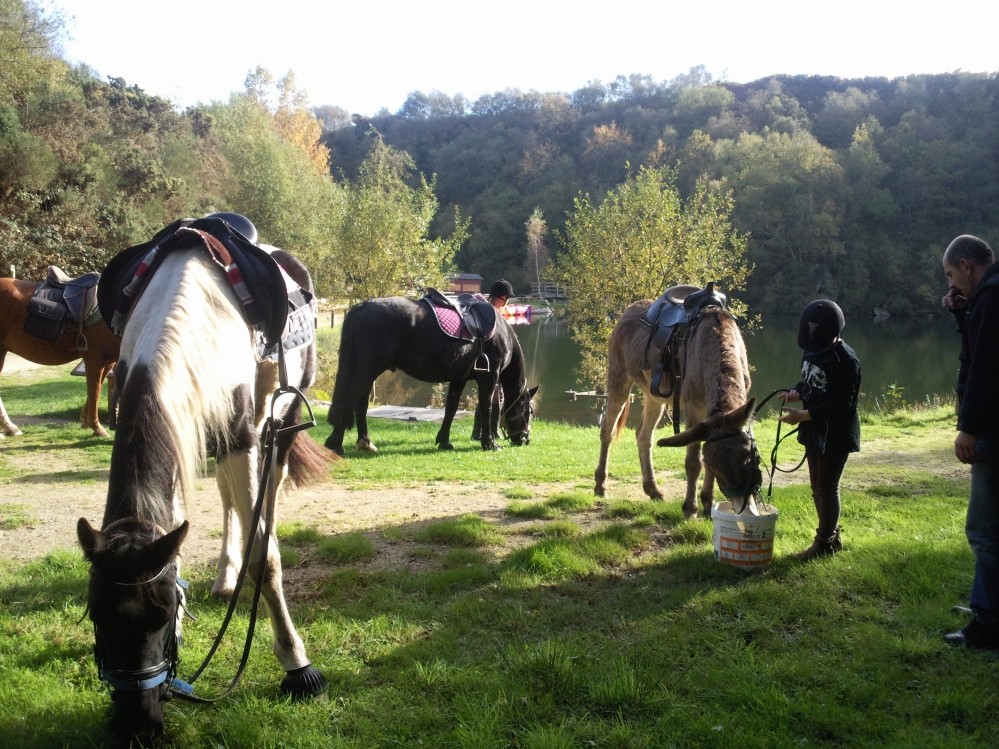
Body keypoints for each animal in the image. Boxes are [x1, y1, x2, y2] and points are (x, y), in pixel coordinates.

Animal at [0, 278, 119, 436]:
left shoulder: (108, 361)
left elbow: (95, 388)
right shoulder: (94, 358)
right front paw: (97, 428)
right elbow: (95, 392)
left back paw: (10, 428)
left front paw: (85, 421)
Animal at [77, 219, 336, 744]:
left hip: (278, 425)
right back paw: (224, 577)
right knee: (228, 502)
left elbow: (264, 556)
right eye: (96, 613)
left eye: (160, 615)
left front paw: (298, 667)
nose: (138, 726)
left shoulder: (241, 437)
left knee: (269, 494)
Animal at [326, 296, 540, 452]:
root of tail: (362, 307)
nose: (525, 439)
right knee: (350, 400)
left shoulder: (459, 378)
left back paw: (365, 442)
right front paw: (489, 443)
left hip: (367, 371)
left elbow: (451, 409)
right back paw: (335, 444)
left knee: (360, 404)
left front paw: (444, 441)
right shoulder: (489, 377)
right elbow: (487, 407)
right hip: (368, 369)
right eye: (529, 411)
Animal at [588, 296, 760, 516]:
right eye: (715, 464)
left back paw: (652, 489)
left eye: (749, 458)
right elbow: (693, 462)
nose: (740, 501)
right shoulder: (692, 409)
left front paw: (708, 503)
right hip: (619, 379)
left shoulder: (711, 418)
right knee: (607, 431)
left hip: (654, 396)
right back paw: (601, 485)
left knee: (643, 436)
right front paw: (690, 507)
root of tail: (629, 308)